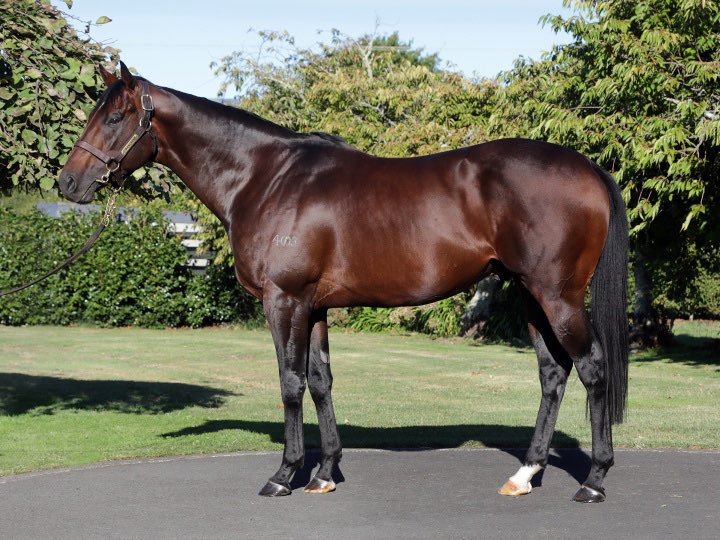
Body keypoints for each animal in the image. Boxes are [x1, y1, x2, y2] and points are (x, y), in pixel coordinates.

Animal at [59, 65, 628, 504]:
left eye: (114, 117)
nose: (67, 183)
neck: (265, 177)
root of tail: (588, 169)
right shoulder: (313, 307)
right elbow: (320, 381)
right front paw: (325, 473)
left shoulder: (283, 301)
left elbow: (289, 384)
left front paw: (284, 475)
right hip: (531, 295)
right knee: (553, 374)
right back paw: (525, 475)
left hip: (557, 296)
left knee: (592, 369)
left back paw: (595, 481)